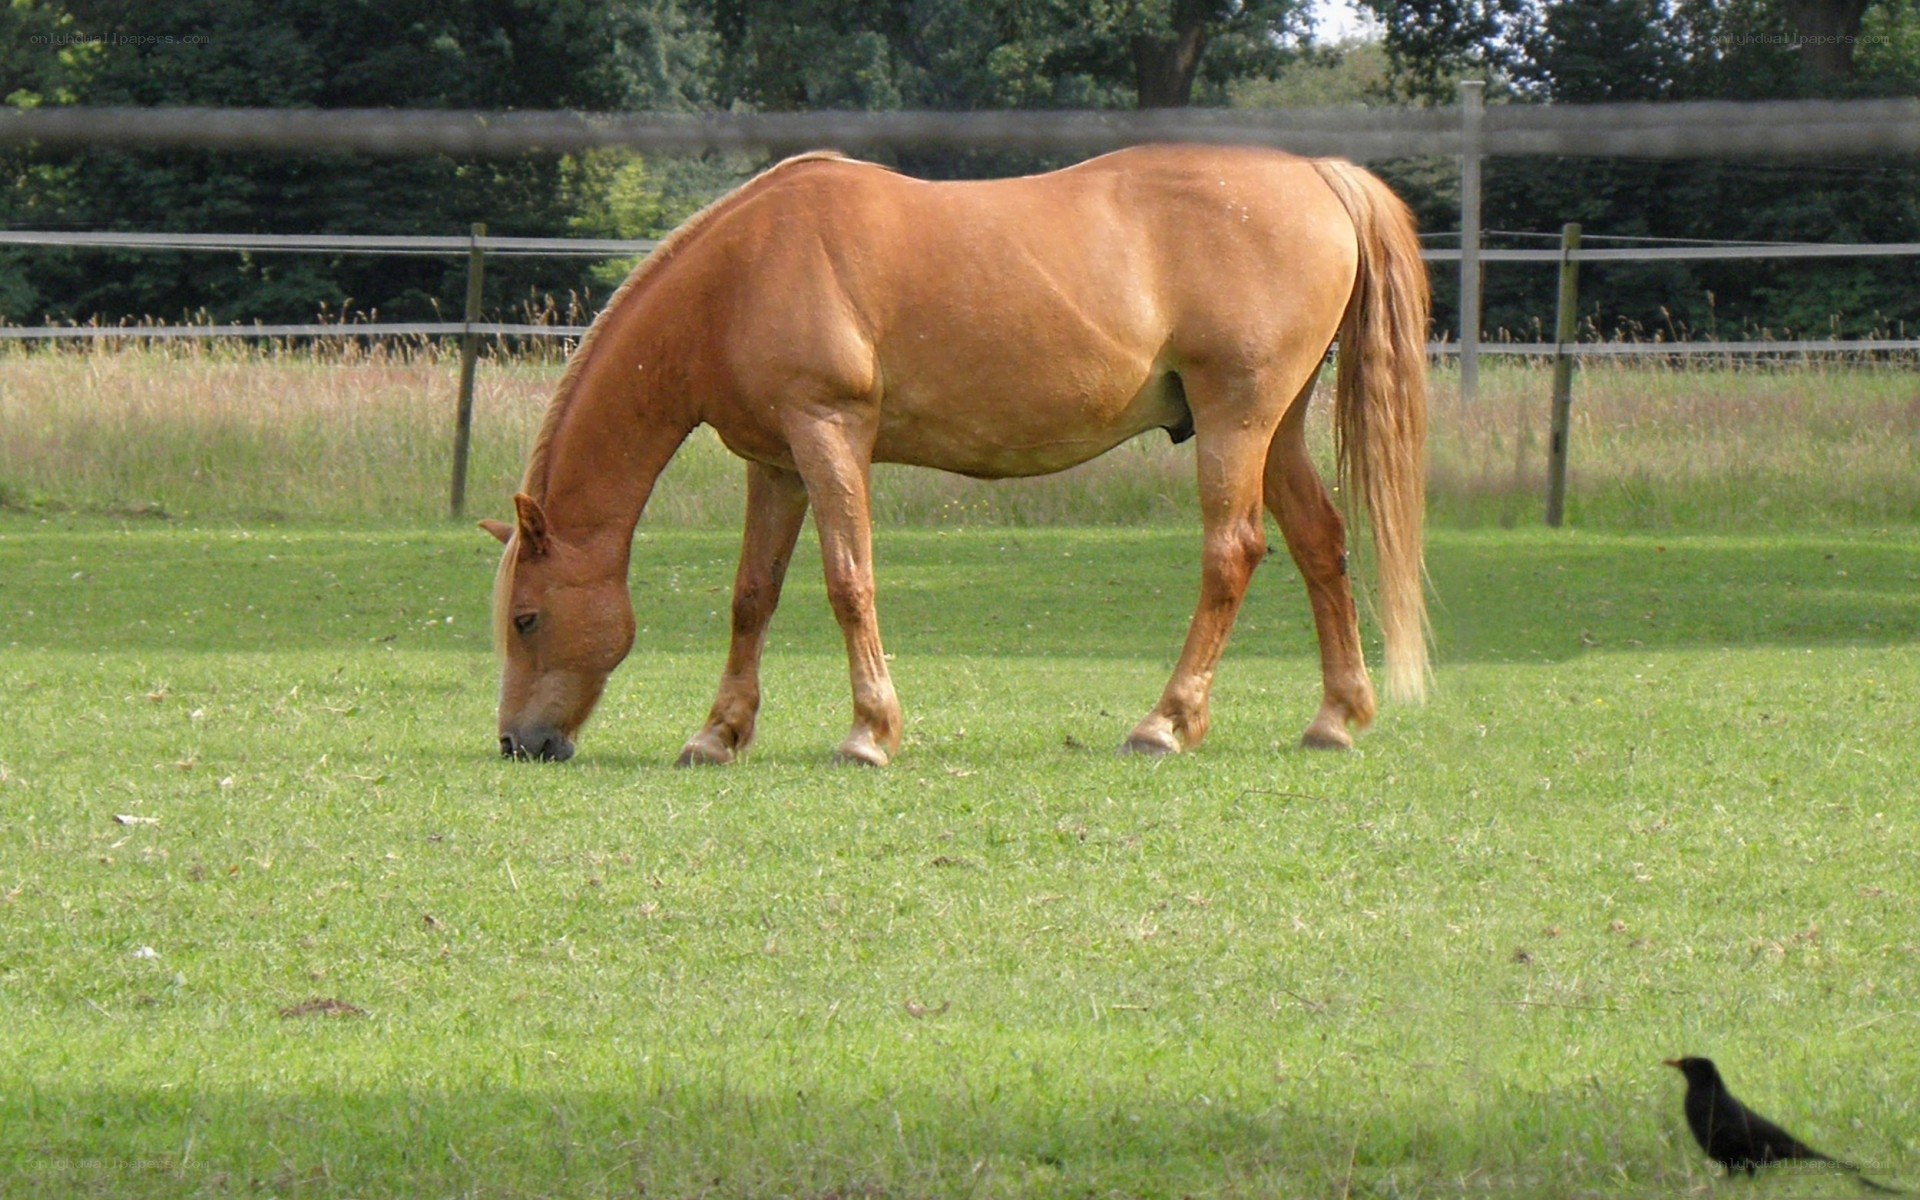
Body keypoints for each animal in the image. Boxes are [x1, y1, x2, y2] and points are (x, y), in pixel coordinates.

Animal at [482, 144, 1430, 766]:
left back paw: (1165, 722)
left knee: (1231, 555)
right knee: (1320, 544)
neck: (738, 276)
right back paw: (1335, 718)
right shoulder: (776, 462)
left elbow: (848, 581)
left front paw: (869, 732)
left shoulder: (828, 432)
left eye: (527, 618)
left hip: (1238, 423)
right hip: (1276, 430)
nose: (520, 743)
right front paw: (718, 733)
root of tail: (1316, 175)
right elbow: (753, 596)